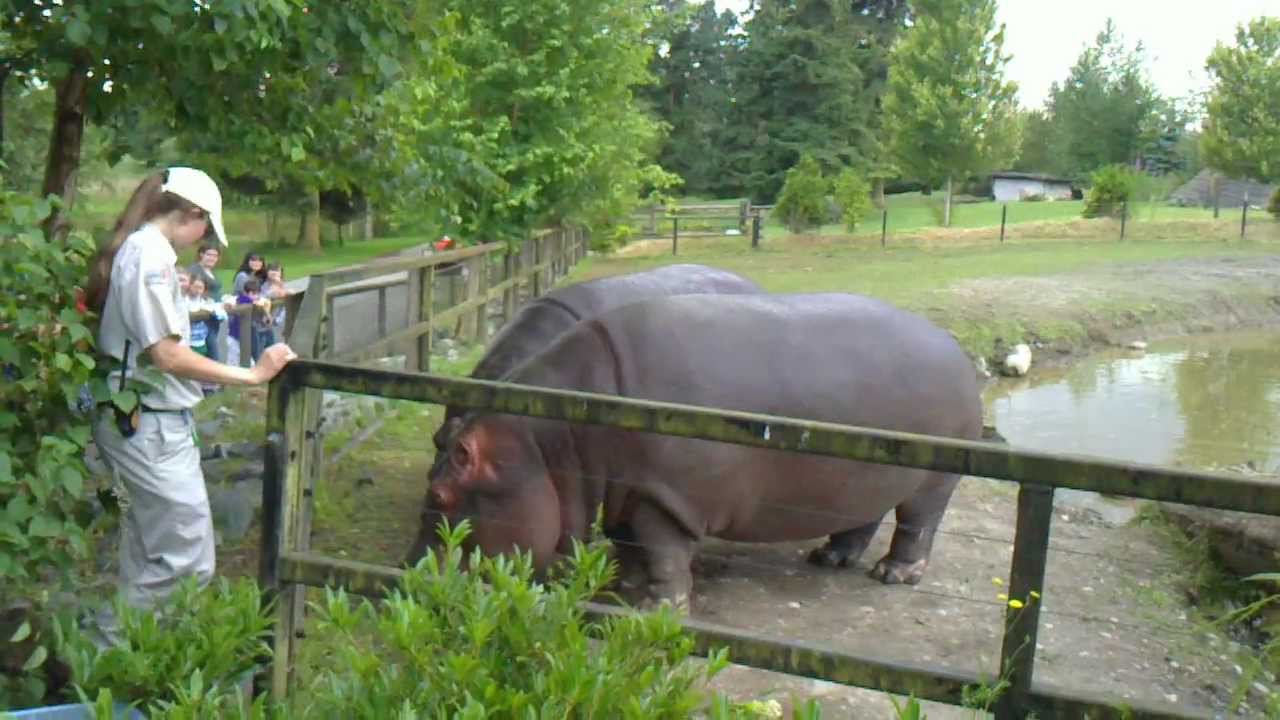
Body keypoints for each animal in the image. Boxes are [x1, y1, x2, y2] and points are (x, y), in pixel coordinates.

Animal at [409, 293, 982, 608]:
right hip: (866, 476)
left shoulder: (664, 497)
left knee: (916, 525)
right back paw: (828, 559)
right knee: (860, 518)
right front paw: (626, 586)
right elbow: (630, 544)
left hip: (935, 481)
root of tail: (953, 345)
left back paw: (892, 576)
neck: (547, 441)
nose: (406, 581)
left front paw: (656, 607)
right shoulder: (627, 492)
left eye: (439, 497)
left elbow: (662, 551)